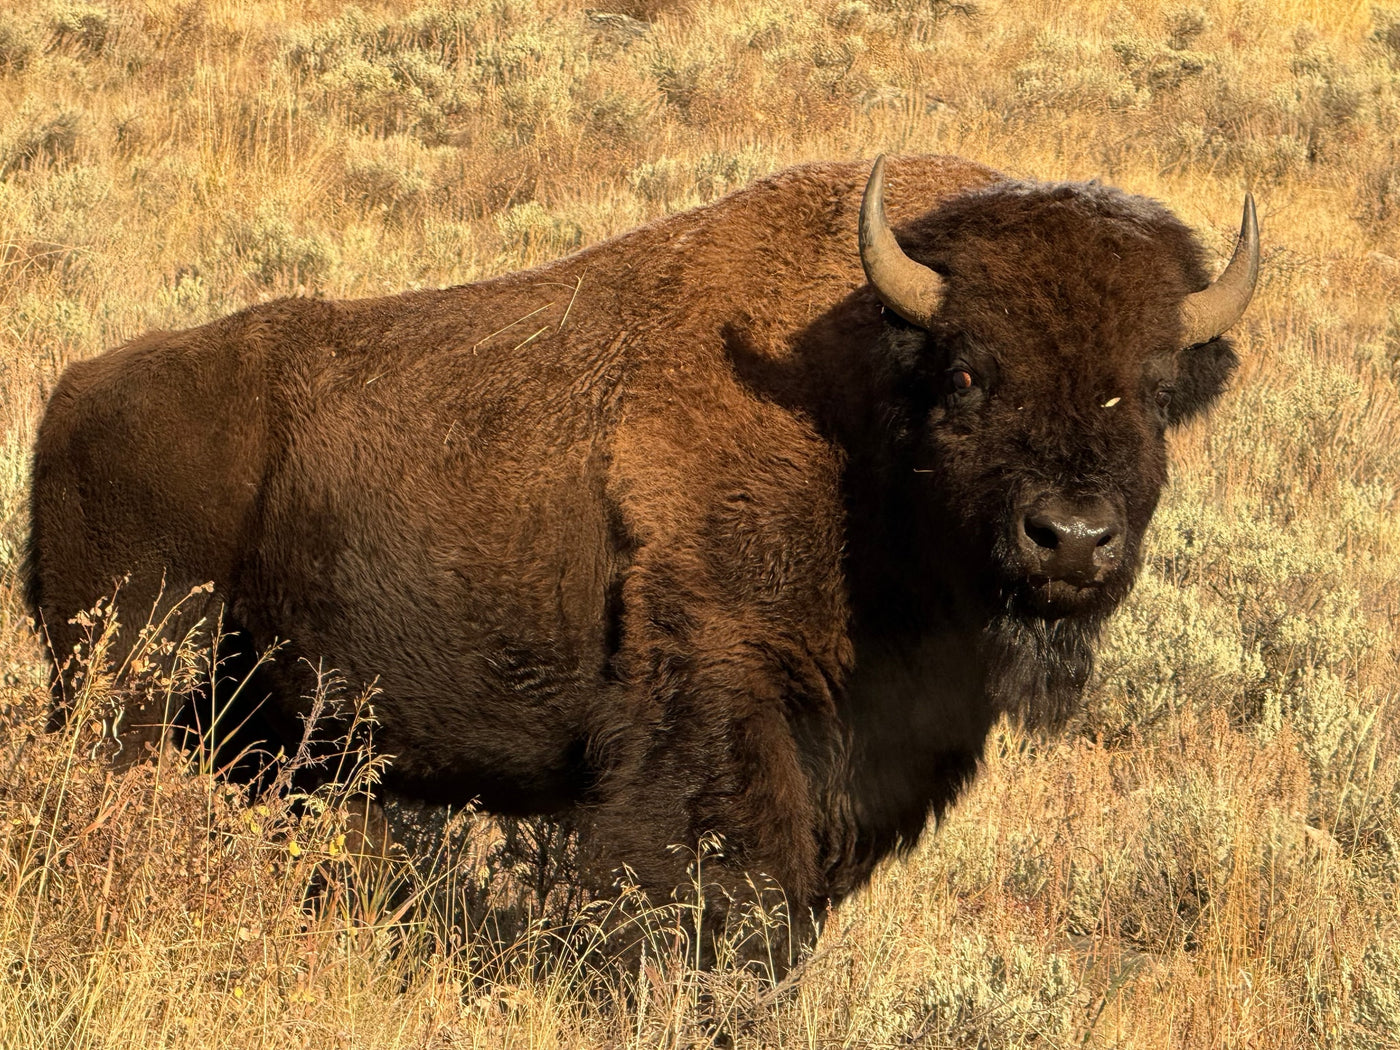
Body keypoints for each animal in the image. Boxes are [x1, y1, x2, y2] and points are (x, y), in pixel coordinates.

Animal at [25, 154, 1258, 926]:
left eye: (1156, 393)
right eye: (965, 376)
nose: (1071, 540)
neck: (860, 410)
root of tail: (71, 395)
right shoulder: (717, 713)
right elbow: (719, 883)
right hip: (127, 686)